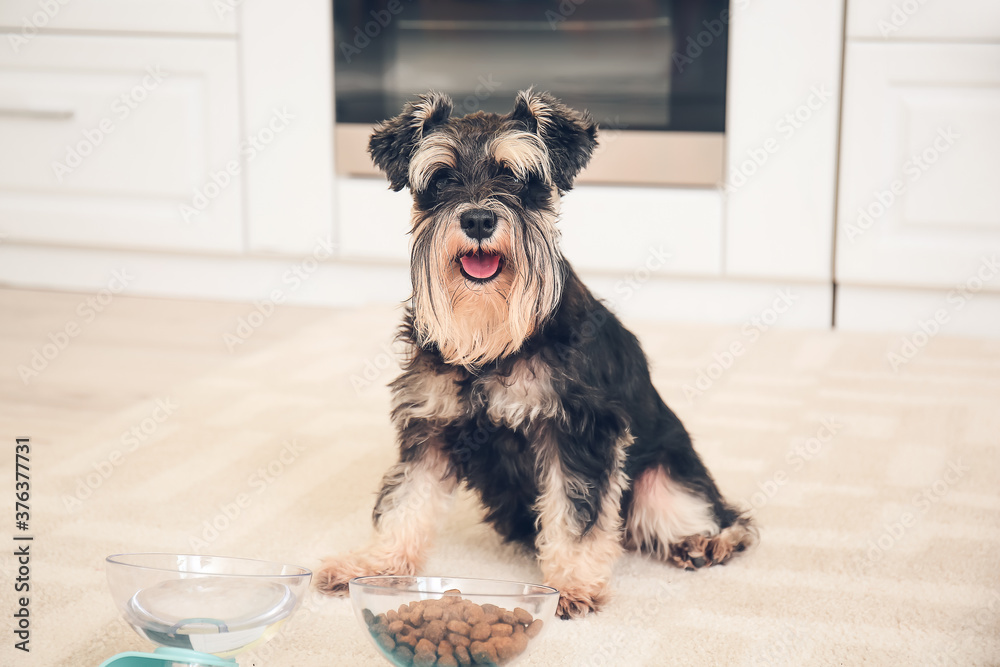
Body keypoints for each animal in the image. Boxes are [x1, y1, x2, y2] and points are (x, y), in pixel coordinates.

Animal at [320, 90, 756, 620]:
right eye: (441, 179)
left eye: (517, 176)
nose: (478, 219)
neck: (494, 339)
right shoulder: (430, 428)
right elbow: (405, 500)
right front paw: (373, 565)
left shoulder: (580, 431)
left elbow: (575, 512)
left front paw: (571, 584)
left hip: (663, 477)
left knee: (721, 516)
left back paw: (703, 542)